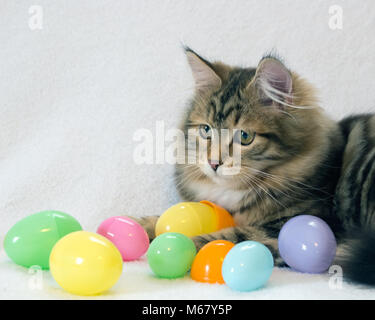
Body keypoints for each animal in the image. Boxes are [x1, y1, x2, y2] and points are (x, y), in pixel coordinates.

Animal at [137, 47, 374, 284]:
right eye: (206, 130)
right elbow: (158, 219)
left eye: (245, 136)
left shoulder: (294, 224)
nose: (213, 163)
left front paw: (174, 247)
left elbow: (231, 235)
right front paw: (138, 225)